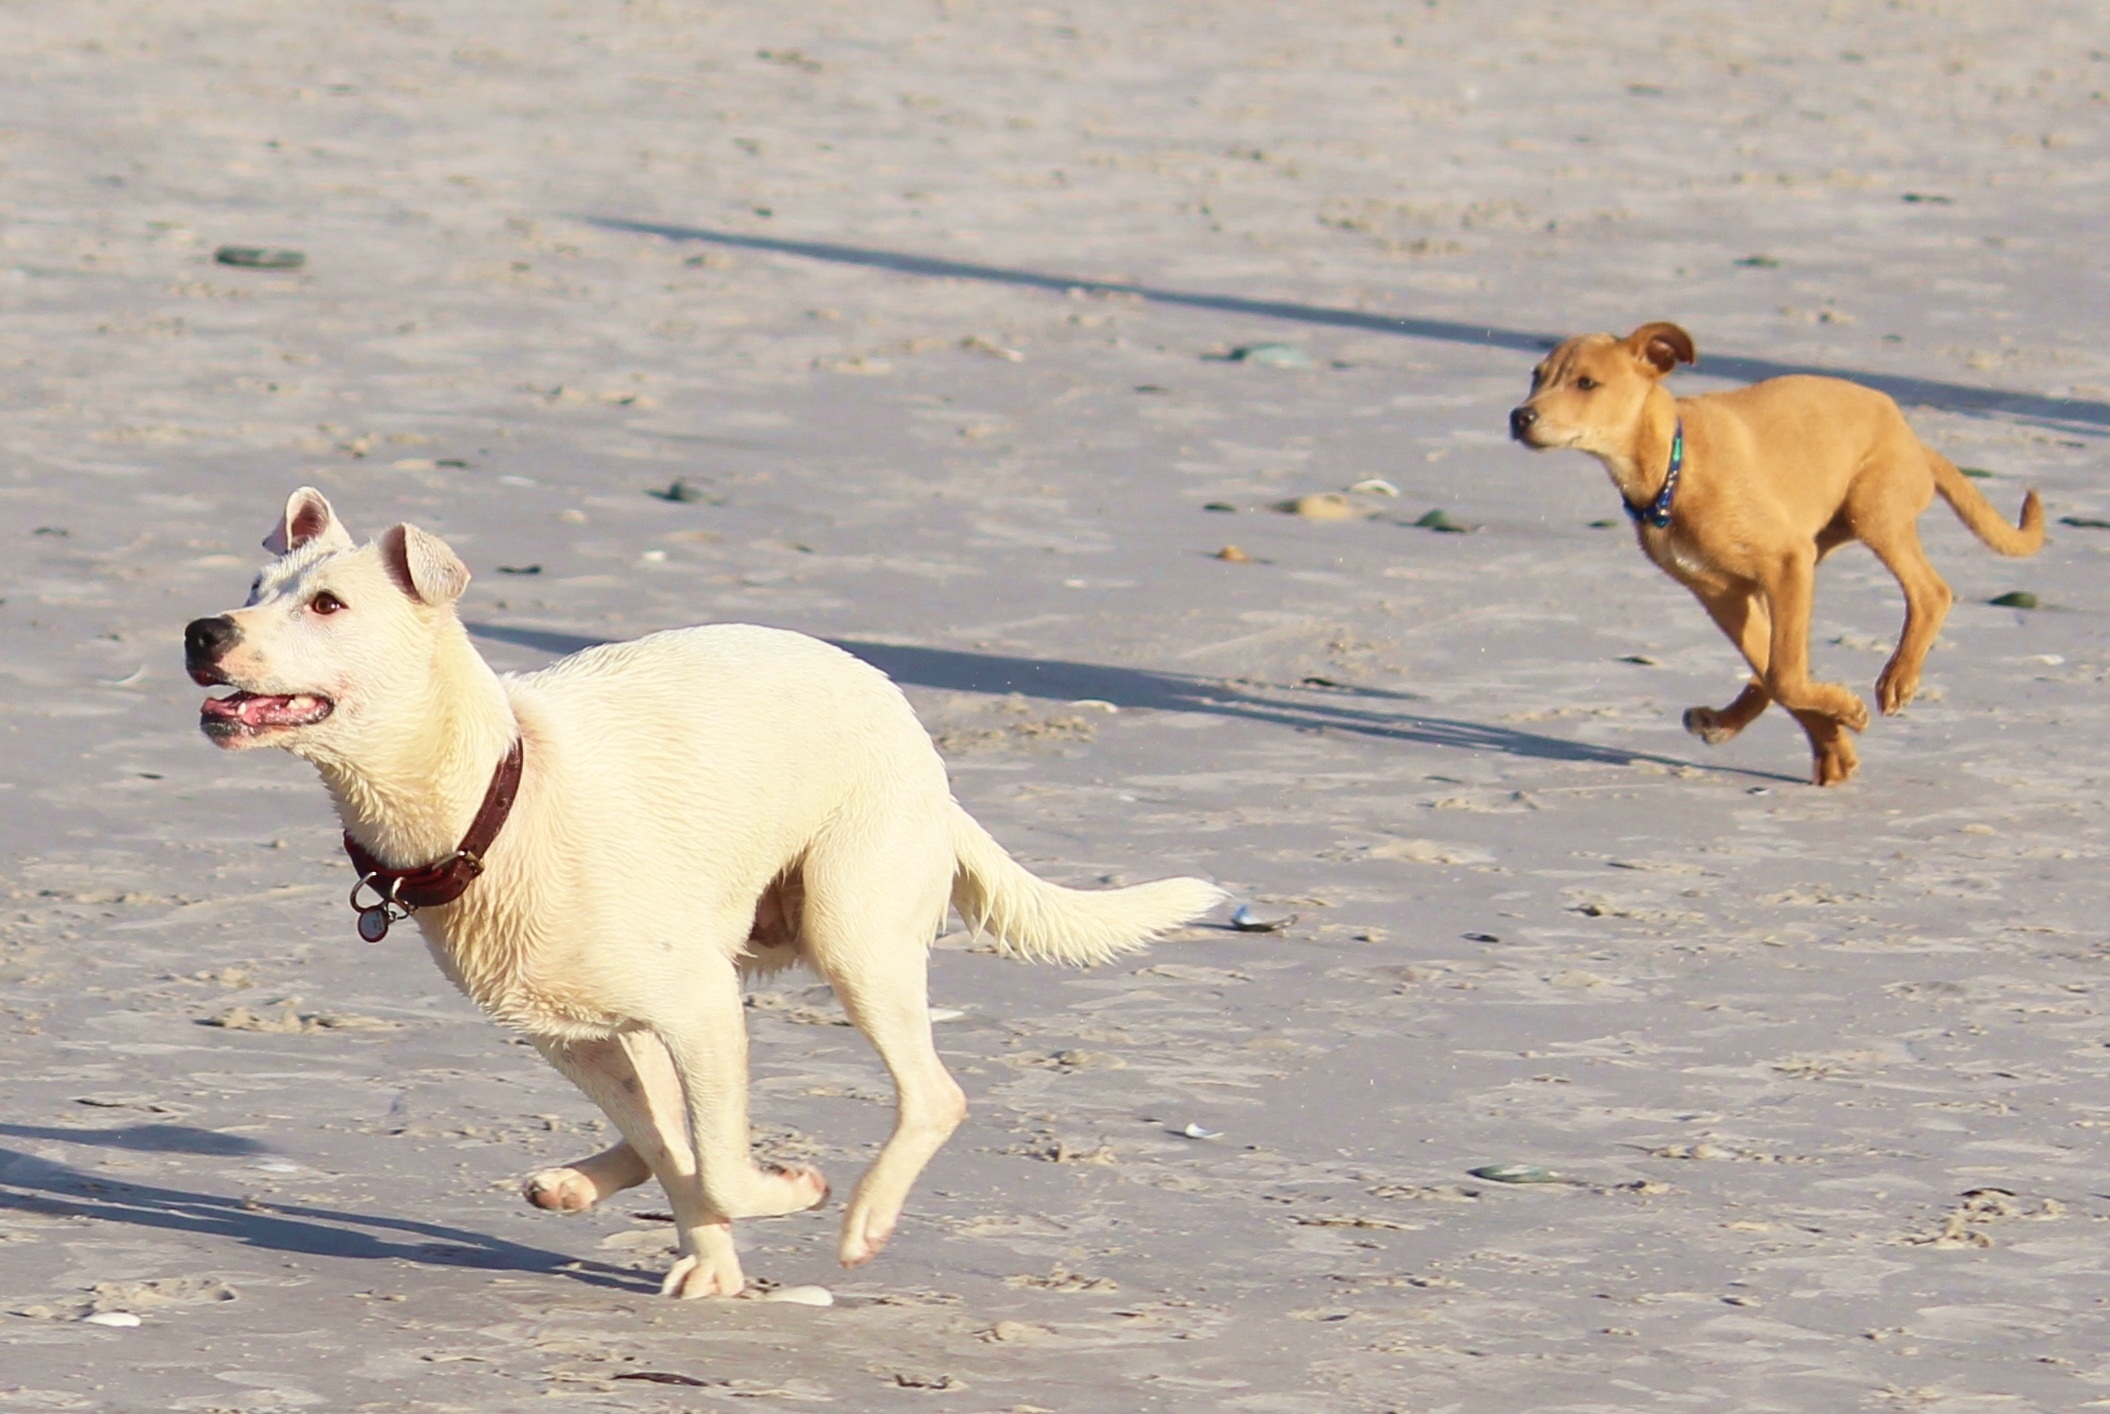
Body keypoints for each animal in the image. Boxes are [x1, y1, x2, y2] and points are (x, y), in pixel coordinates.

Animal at [189, 493, 1232, 1300]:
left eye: (329, 604)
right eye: (251, 591)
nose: (201, 630)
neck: (499, 791)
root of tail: (921, 746)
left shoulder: (701, 1010)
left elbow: (722, 1168)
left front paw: (792, 1195)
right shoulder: (574, 1036)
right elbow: (678, 1154)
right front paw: (714, 1265)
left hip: (850, 932)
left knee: (932, 1095)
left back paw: (861, 1219)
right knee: (667, 1131)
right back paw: (579, 1184)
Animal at [1519, 325, 2042, 785]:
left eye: (1587, 383)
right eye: (1536, 376)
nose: (1519, 418)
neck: (1674, 468)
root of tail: (1910, 433)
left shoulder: (1785, 561)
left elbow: (1786, 676)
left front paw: (1847, 715)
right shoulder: (1723, 594)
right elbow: (1778, 673)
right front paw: (1834, 746)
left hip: (1870, 513)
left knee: (1930, 592)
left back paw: (1896, 679)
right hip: (1813, 551)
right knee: (1771, 667)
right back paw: (1727, 721)